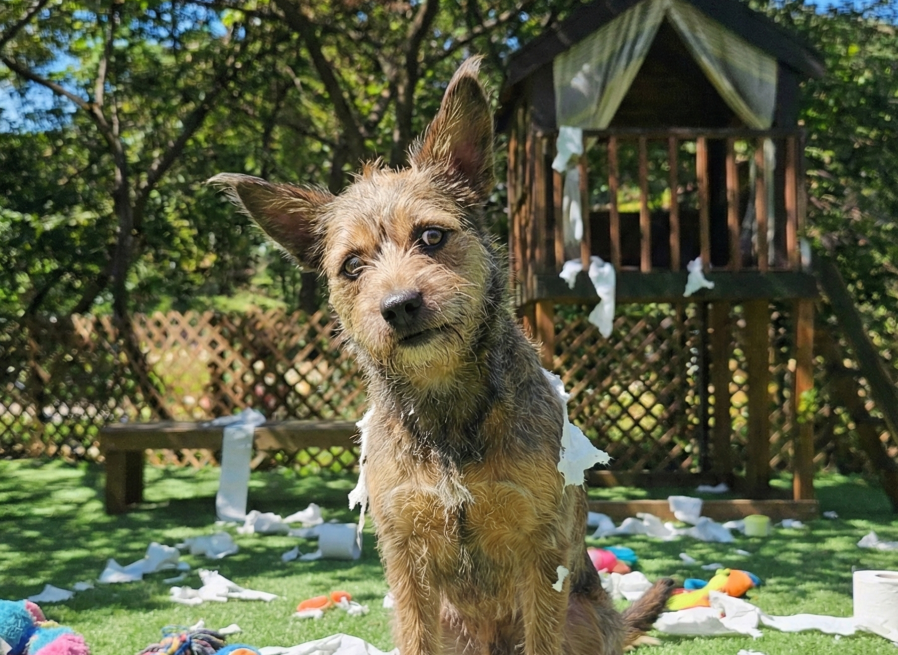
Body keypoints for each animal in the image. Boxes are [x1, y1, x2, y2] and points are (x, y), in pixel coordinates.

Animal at [211, 57, 674, 655]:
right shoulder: (406, 556)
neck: (447, 406)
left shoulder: (540, 551)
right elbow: (414, 632)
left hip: (583, 616)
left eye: (431, 236)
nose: (400, 305)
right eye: (352, 265)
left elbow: (541, 628)